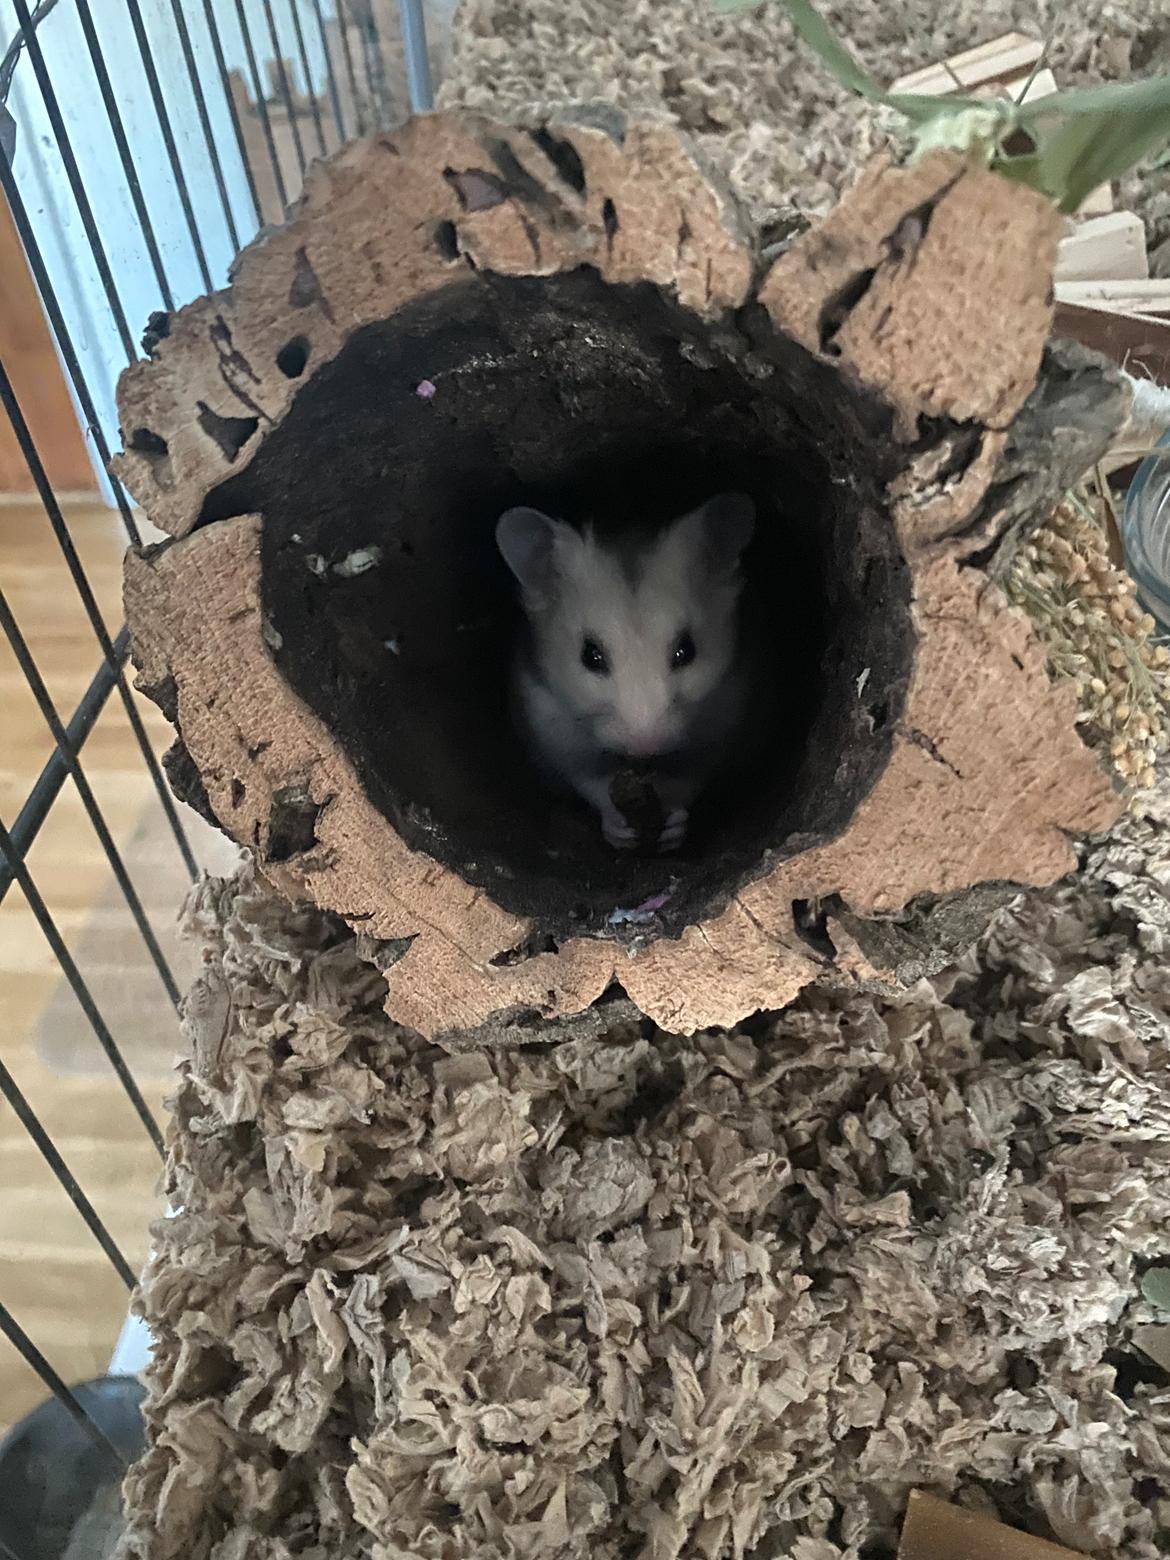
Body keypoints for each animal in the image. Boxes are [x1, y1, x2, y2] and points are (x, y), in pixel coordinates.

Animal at [495, 492, 756, 852]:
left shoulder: (721, 725)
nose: (645, 744)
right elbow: (591, 782)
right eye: (590, 656)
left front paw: (672, 830)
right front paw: (620, 831)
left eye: (686, 651)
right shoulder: (552, 730)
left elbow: (690, 778)